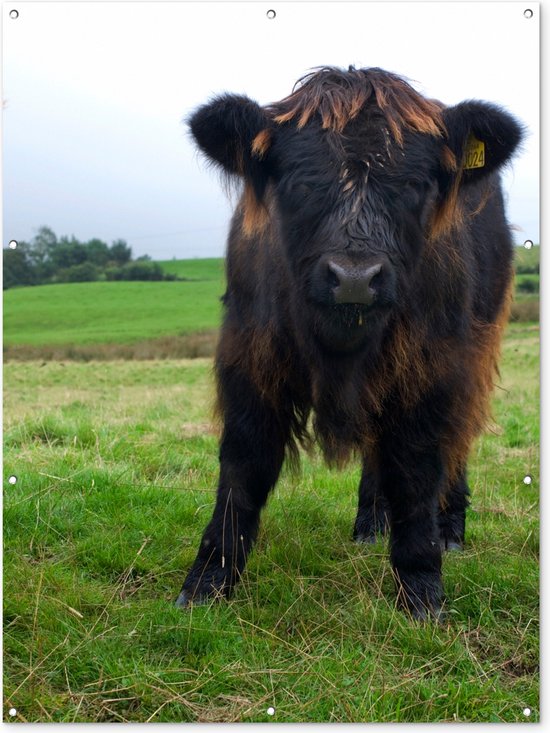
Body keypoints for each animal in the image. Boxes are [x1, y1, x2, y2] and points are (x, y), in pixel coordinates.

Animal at [176, 67, 523, 619]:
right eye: (299, 182)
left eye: (415, 184)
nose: (355, 278)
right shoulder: (249, 357)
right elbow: (243, 465)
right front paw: (208, 581)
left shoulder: (433, 368)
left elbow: (418, 468)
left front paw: (421, 589)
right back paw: (369, 523)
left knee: (458, 441)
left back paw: (450, 530)